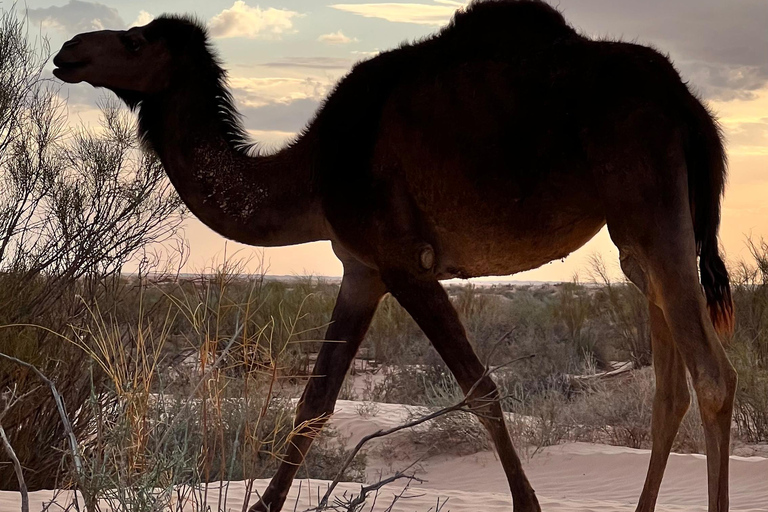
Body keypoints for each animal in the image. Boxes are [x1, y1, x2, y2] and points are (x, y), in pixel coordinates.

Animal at [54, 1, 736, 512]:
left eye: (135, 43)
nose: (68, 52)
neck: (313, 171)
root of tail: (688, 102)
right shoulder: (362, 268)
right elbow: (313, 404)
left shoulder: (407, 261)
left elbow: (482, 390)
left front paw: (529, 504)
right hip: (640, 234)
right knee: (668, 388)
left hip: (649, 195)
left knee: (713, 377)